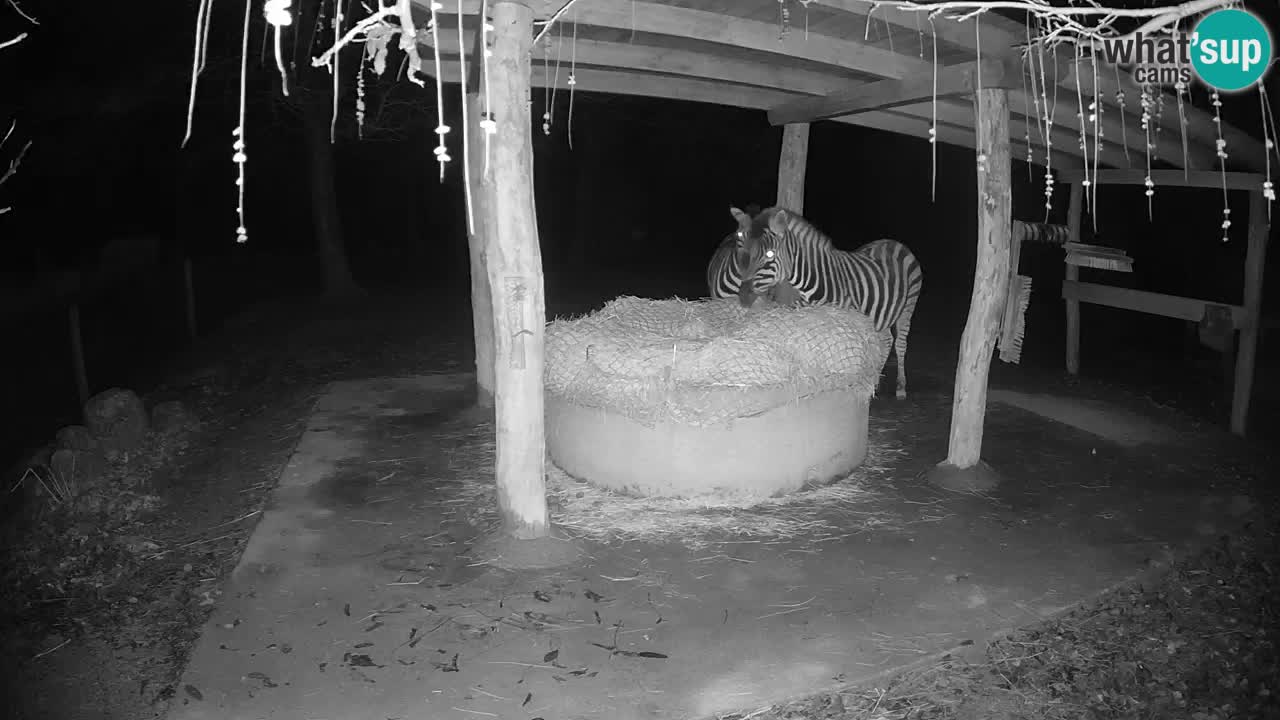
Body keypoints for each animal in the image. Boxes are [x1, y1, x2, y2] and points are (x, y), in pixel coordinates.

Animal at [737, 204, 926, 397]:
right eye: (746, 251)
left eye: (769, 254)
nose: (742, 297)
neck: (816, 282)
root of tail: (893, 242)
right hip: (884, 312)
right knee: (887, 339)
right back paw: (876, 380)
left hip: (908, 307)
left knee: (901, 344)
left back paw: (901, 387)